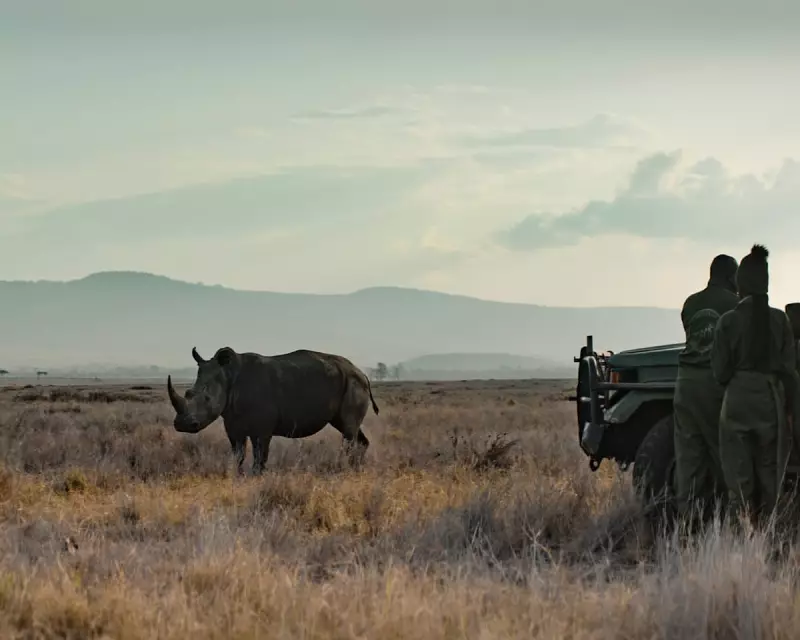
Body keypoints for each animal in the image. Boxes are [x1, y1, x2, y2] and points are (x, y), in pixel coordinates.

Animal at [166, 346, 380, 475]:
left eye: (207, 399)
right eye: (188, 393)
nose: (182, 425)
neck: (228, 376)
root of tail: (363, 374)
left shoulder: (262, 429)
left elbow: (260, 456)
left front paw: (256, 477)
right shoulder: (232, 423)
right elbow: (238, 454)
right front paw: (238, 476)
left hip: (352, 382)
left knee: (348, 431)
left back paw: (344, 469)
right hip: (348, 383)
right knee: (349, 428)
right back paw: (356, 469)